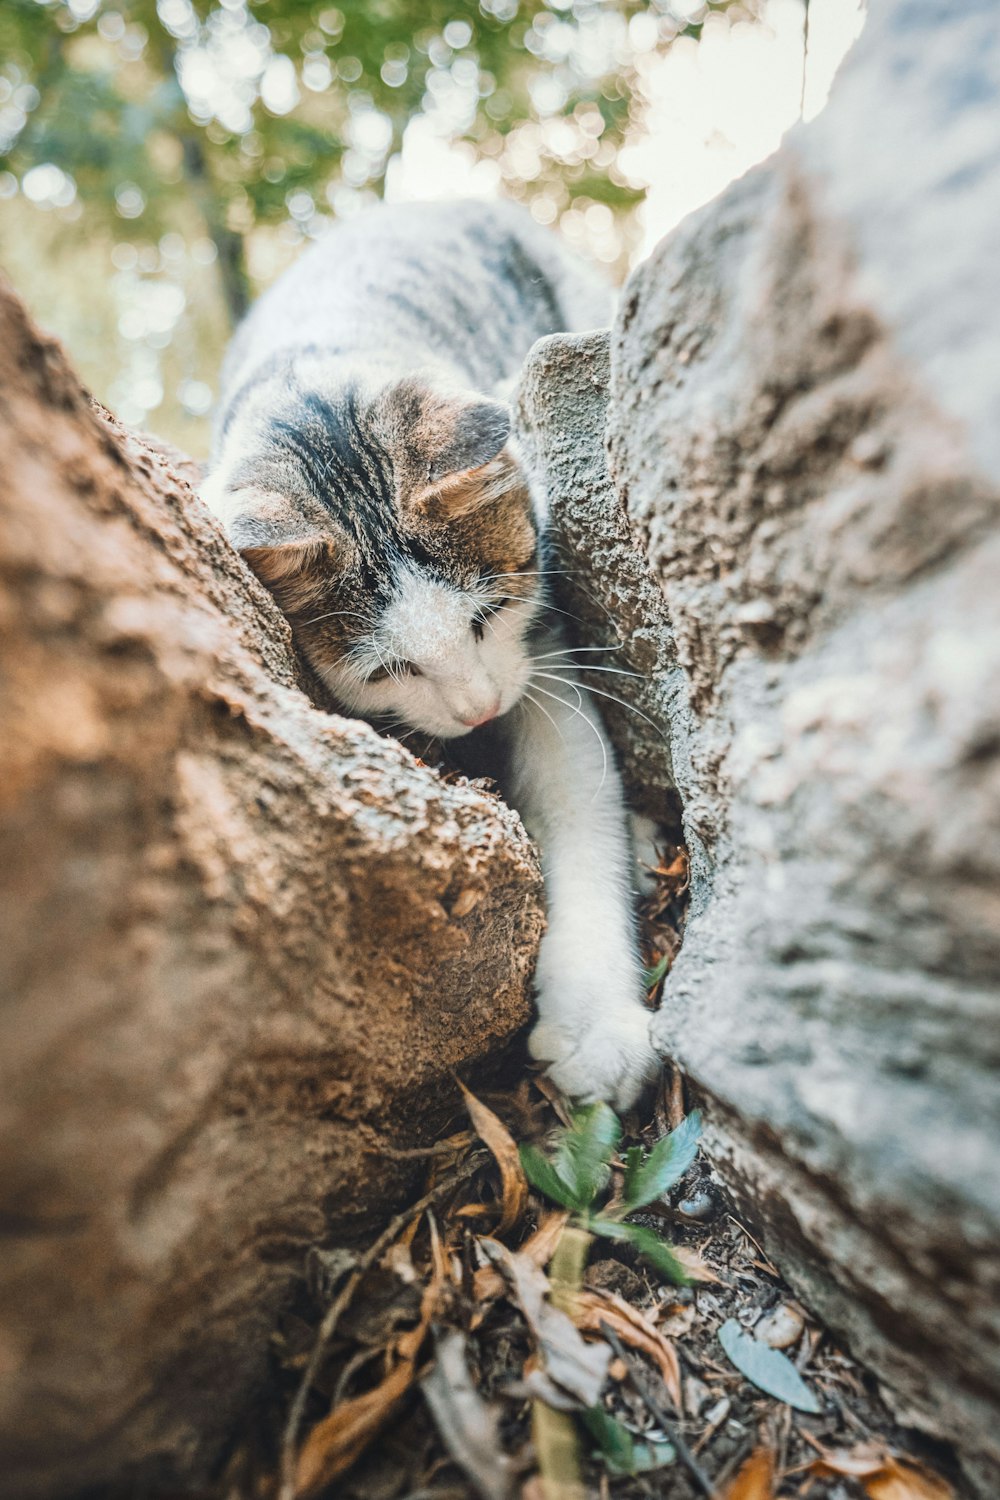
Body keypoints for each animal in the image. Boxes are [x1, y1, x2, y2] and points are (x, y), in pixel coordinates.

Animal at [200, 199, 656, 1110]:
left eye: (489, 613)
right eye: (386, 671)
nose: (479, 708)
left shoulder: (539, 657)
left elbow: (578, 796)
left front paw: (597, 1019)